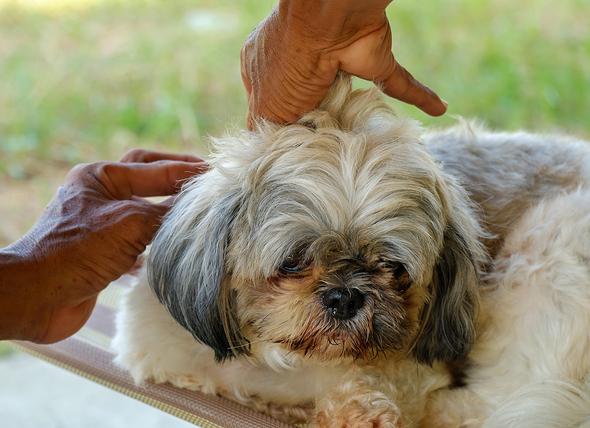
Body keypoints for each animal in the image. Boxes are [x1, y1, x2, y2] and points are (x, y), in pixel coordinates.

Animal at [113, 75, 590, 426]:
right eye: (293, 261)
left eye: (393, 267)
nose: (345, 296)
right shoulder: (156, 341)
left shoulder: (410, 368)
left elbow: (367, 382)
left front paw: (353, 411)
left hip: (552, 239)